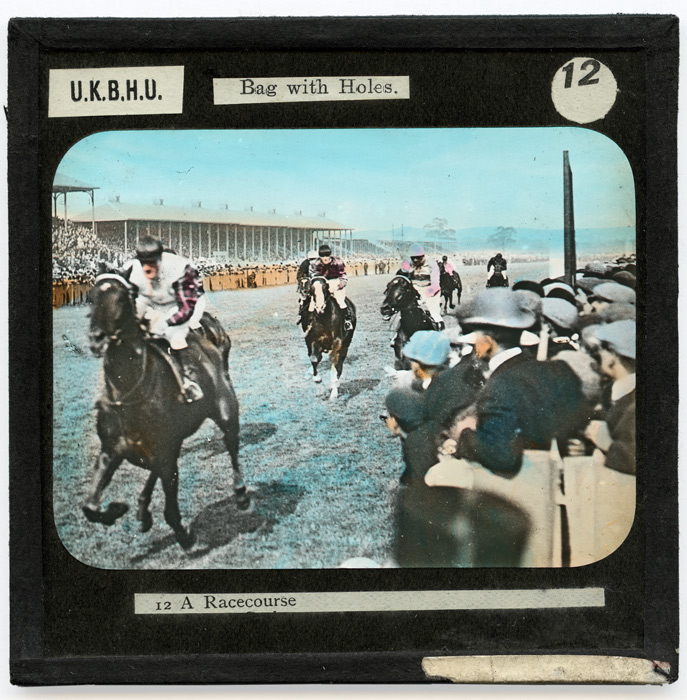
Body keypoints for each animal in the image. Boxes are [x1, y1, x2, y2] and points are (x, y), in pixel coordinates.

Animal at [84, 272, 250, 549]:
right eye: (92, 297)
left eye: (121, 299)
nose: (97, 338)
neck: (128, 392)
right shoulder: (112, 449)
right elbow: (90, 507)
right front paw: (117, 509)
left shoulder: (164, 452)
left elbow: (171, 508)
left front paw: (184, 535)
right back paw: (142, 510)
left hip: (226, 408)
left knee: (231, 442)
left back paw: (240, 492)